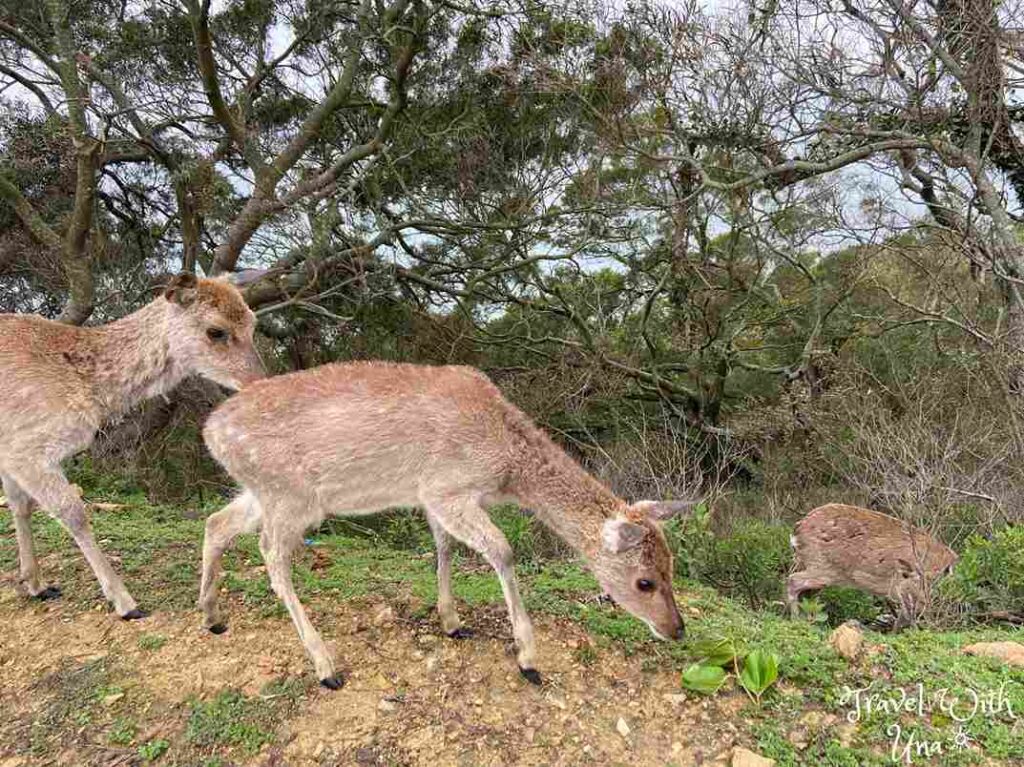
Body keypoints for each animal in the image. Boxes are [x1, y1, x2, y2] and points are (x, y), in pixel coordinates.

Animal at [1, 272, 264, 618]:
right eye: (216, 331)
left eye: (253, 322)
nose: (258, 382)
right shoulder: (25, 447)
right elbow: (73, 512)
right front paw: (126, 603)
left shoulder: (9, 448)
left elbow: (19, 505)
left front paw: (36, 584)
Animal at [197, 360, 696, 688]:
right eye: (645, 581)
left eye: (673, 567)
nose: (677, 629)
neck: (507, 467)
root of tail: (208, 432)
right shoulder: (446, 487)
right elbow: (502, 550)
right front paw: (528, 658)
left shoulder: (432, 496)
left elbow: (444, 547)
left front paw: (452, 622)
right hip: (292, 496)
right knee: (270, 554)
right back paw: (326, 667)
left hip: (263, 493)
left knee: (216, 522)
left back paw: (213, 616)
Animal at [782, 501, 958, 626]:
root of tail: (796, 531)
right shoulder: (905, 584)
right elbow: (908, 612)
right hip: (823, 567)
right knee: (793, 580)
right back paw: (796, 620)